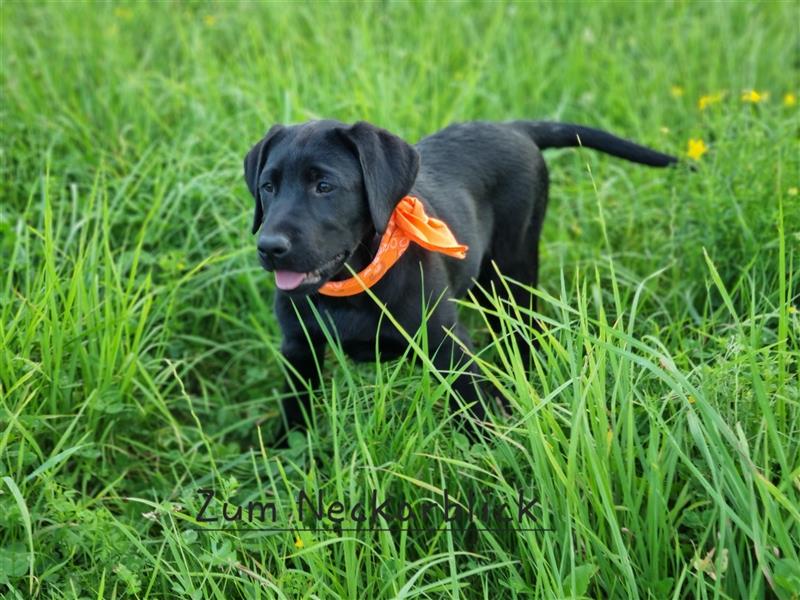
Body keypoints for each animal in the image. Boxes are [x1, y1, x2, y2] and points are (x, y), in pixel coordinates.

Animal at [242, 120, 676, 440]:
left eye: (324, 186)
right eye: (268, 186)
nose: (269, 246)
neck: (354, 283)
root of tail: (513, 127)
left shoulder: (447, 345)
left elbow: (472, 412)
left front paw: (491, 459)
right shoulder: (299, 348)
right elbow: (295, 411)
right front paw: (284, 456)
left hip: (509, 273)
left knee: (524, 334)